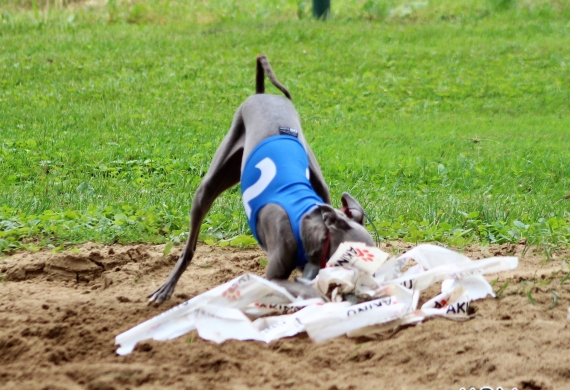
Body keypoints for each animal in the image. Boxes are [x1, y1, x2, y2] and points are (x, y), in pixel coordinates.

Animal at [149, 54, 374, 304]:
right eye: (354, 262)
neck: (306, 221)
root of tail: (262, 94)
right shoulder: (277, 272)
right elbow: (307, 288)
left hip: (316, 176)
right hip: (209, 185)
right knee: (190, 244)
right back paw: (166, 288)